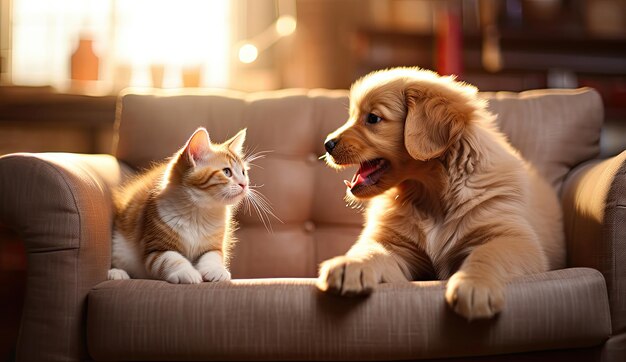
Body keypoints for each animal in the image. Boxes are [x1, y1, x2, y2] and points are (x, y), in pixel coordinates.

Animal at [107, 126, 251, 282]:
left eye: (243, 172)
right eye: (227, 172)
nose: (244, 184)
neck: (199, 211)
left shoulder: (215, 245)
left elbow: (212, 256)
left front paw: (216, 270)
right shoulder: (155, 245)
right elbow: (171, 259)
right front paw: (186, 272)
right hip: (119, 244)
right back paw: (116, 273)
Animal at [314, 67, 564, 320]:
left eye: (373, 118)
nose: (327, 144)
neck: (430, 195)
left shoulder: (516, 239)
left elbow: (488, 253)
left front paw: (474, 285)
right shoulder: (397, 246)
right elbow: (371, 250)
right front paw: (350, 264)